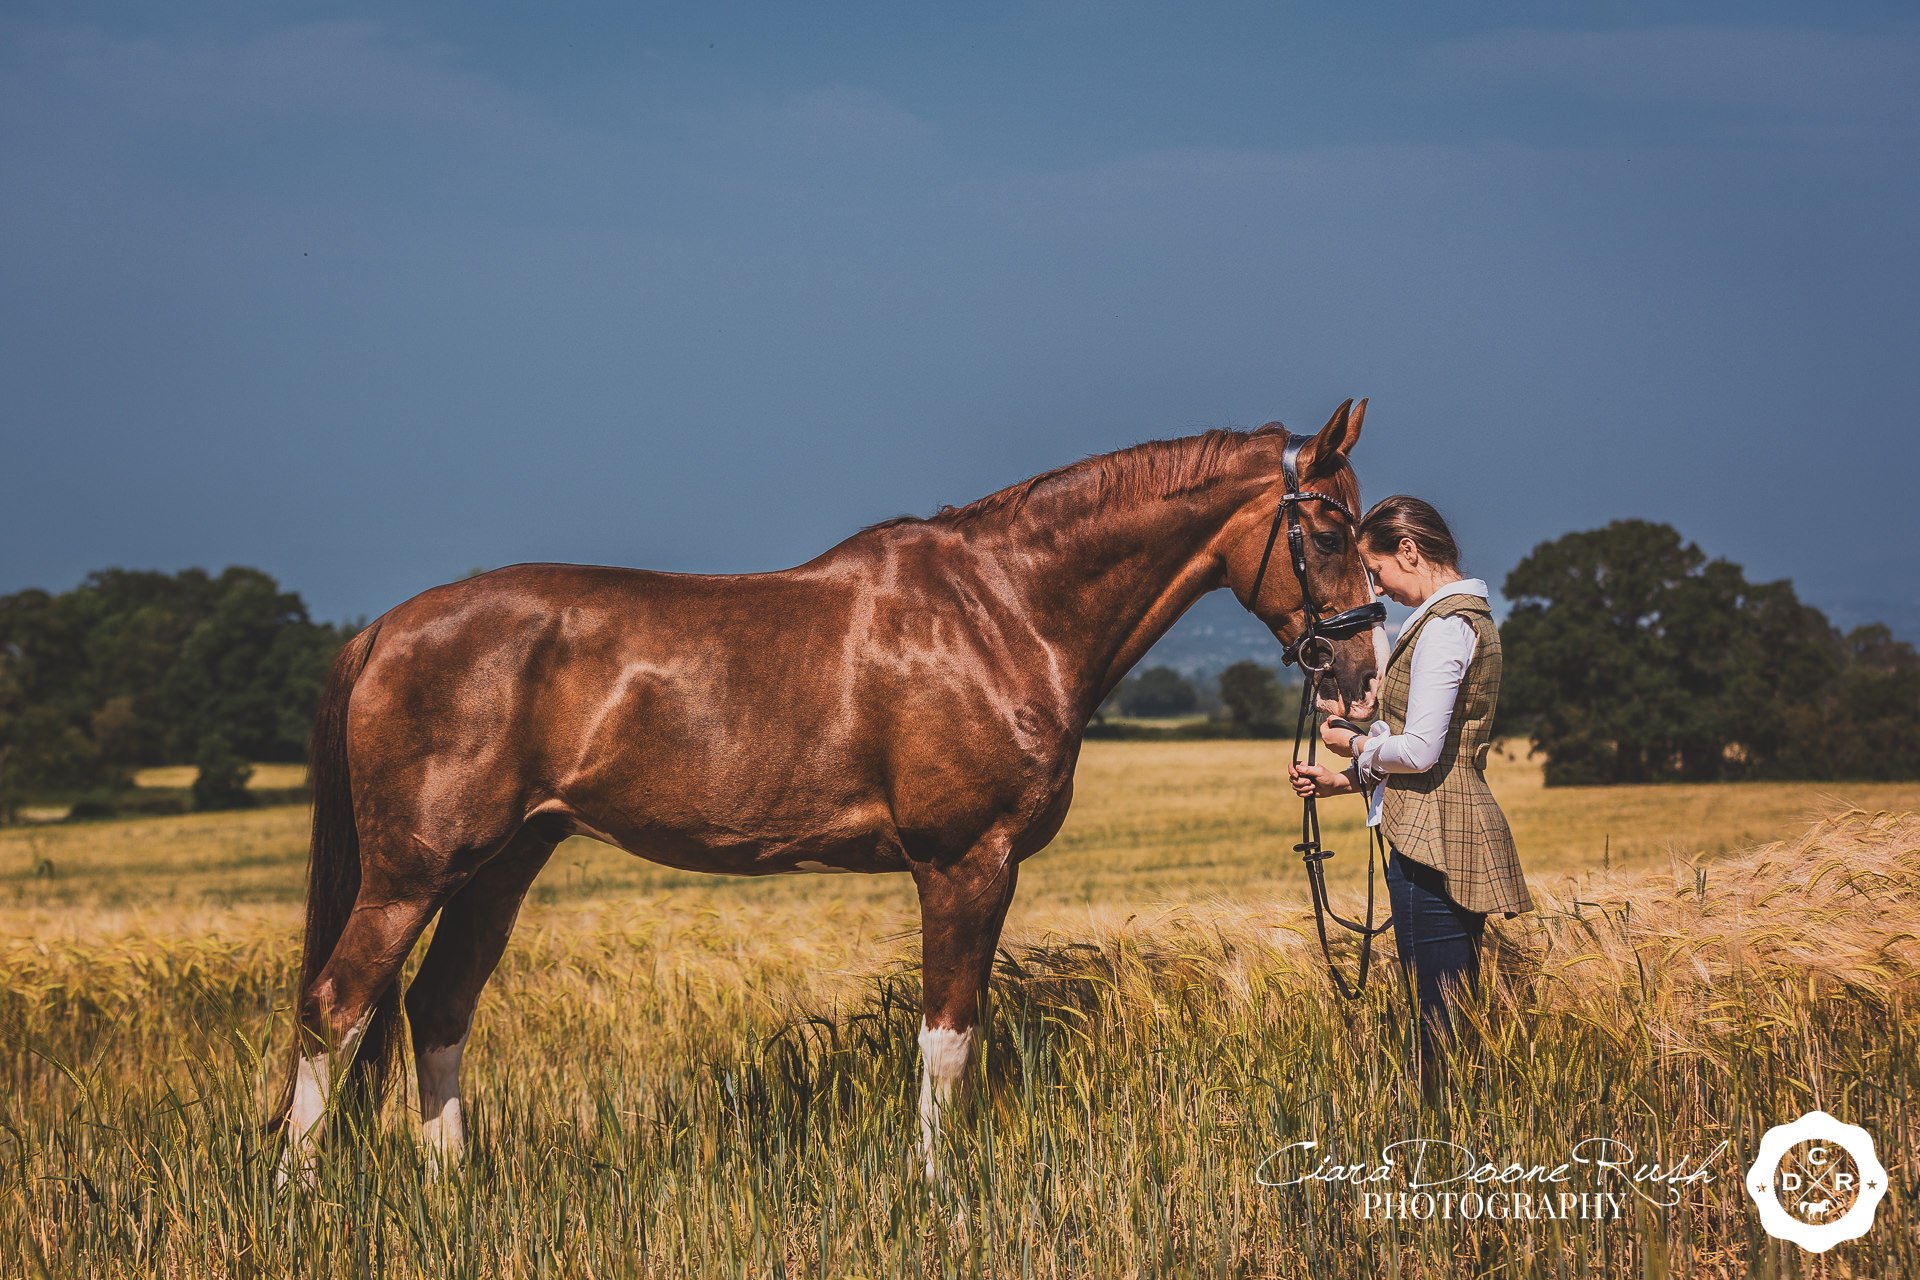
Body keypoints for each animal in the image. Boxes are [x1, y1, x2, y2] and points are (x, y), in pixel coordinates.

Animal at [273, 399, 1385, 1183]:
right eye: (1330, 532)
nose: (1362, 672)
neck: (1005, 610)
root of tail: (386, 628)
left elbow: (963, 1027)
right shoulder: (962, 861)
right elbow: (946, 1033)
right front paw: (936, 1185)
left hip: (502, 864)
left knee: (437, 1005)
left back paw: (453, 1185)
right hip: (415, 870)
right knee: (337, 1004)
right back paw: (299, 1192)